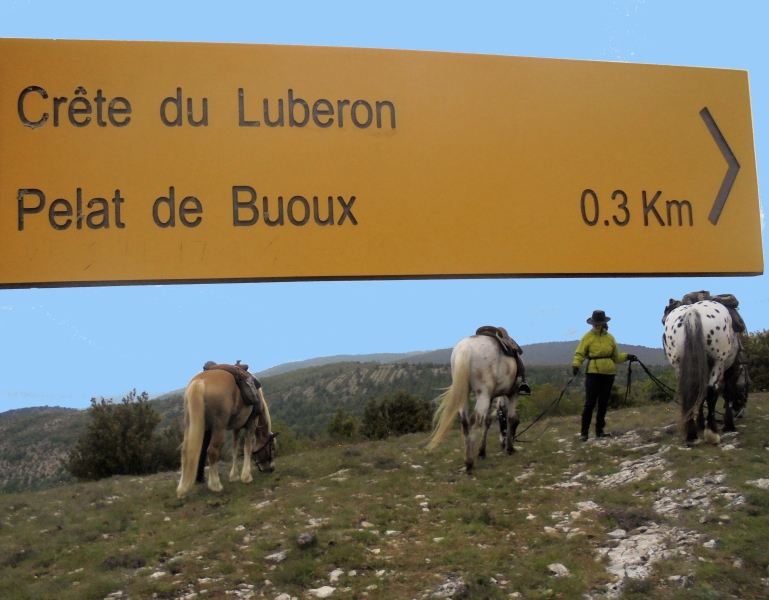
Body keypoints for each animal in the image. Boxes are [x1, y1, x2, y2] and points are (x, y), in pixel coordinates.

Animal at [426, 336, 520, 472]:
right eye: (518, 424)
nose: (502, 444)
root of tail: (466, 347)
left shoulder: (491, 397)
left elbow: (487, 421)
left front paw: (482, 451)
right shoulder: (513, 393)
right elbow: (511, 418)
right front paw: (510, 448)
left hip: (465, 394)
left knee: (465, 422)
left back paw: (467, 459)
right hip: (482, 395)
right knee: (474, 421)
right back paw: (470, 462)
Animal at [660, 302, 744, 442]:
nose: (740, 412)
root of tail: (692, 312)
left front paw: (700, 424)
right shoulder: (729, 369)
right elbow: (727, 393)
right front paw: (728, 425)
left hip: (679, 365)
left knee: (688, 390)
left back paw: (691, 434)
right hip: (718, 362)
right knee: (712, 390)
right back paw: (712, 432)